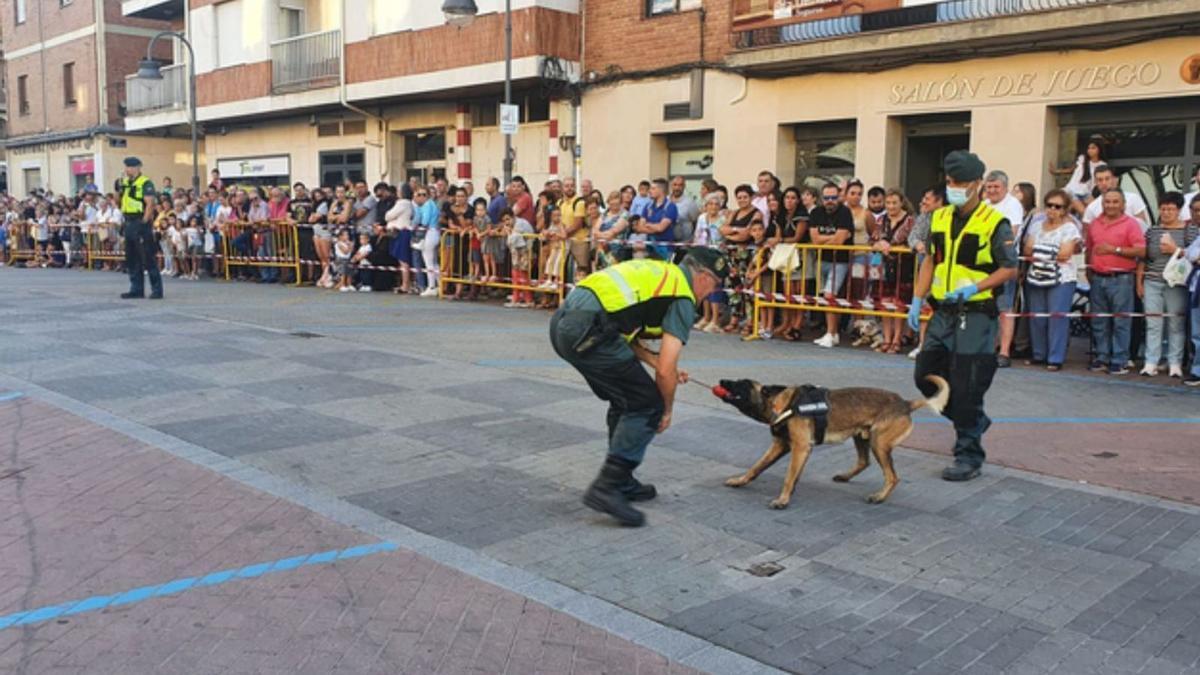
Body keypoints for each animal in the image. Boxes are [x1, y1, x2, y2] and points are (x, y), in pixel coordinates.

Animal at [710, 372, 945, 504]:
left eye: (742, 384)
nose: (721, 380)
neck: (782, 404)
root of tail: (905, 403)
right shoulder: (780, 446)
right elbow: (756, 468)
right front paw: (741, 480)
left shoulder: (800, 447)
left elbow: (788, 477)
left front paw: (783, 500)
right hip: (862, 437)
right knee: (864, 461)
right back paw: (846, 477)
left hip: (879, 443)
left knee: (892, 476)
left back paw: (879, 497)